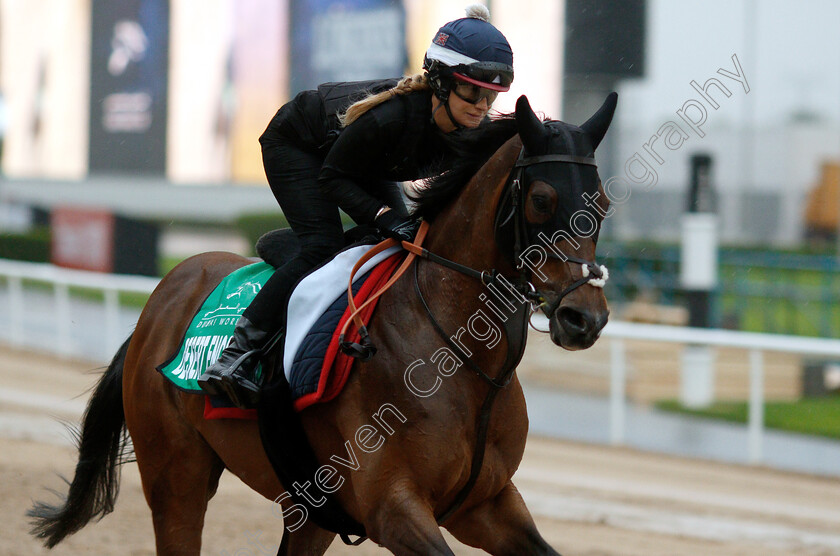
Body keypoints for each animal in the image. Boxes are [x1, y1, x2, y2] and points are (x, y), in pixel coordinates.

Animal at [29, 93, 616, 552]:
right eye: (541, 199)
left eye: (604, 203)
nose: (583, 318)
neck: (462, 358)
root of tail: (164, 295)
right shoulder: (394, 509)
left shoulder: (486, 504)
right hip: (176, 477)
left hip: (310, 506)